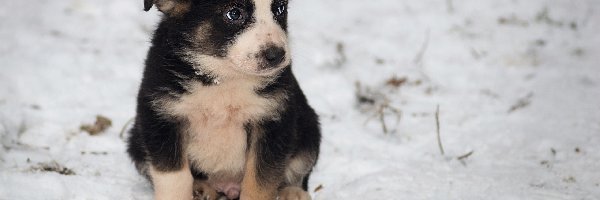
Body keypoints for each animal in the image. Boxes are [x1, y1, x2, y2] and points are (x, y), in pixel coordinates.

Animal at [126, 0, 322, 200]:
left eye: (280, 9)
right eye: (234, 14)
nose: (277, 55)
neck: (222, 77)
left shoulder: (273, 123)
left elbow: (260, 182)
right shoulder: (162, 119)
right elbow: (174, 179)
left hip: (309, 132)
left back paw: (292, 192)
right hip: (136, 141)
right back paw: (201, 188)